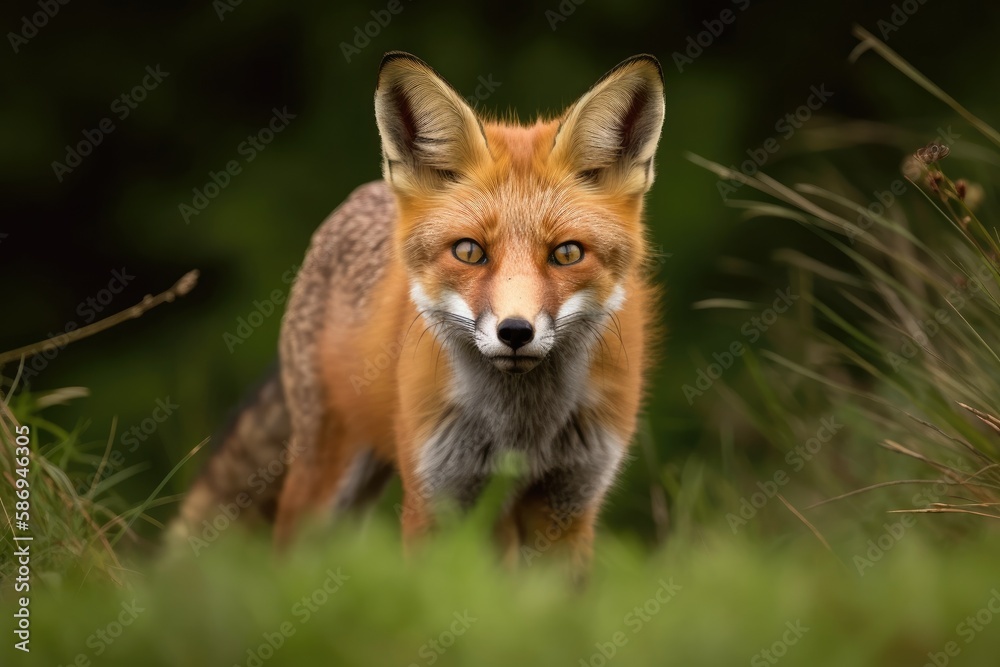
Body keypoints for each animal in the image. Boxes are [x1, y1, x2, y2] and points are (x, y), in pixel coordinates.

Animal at [174, 53, 664, 576]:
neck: (521, 430)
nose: (515, 331)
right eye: (469, 252)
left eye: (567, 254)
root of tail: (365, 193)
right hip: (328, 479)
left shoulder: (568, 504)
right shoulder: (435, 497)